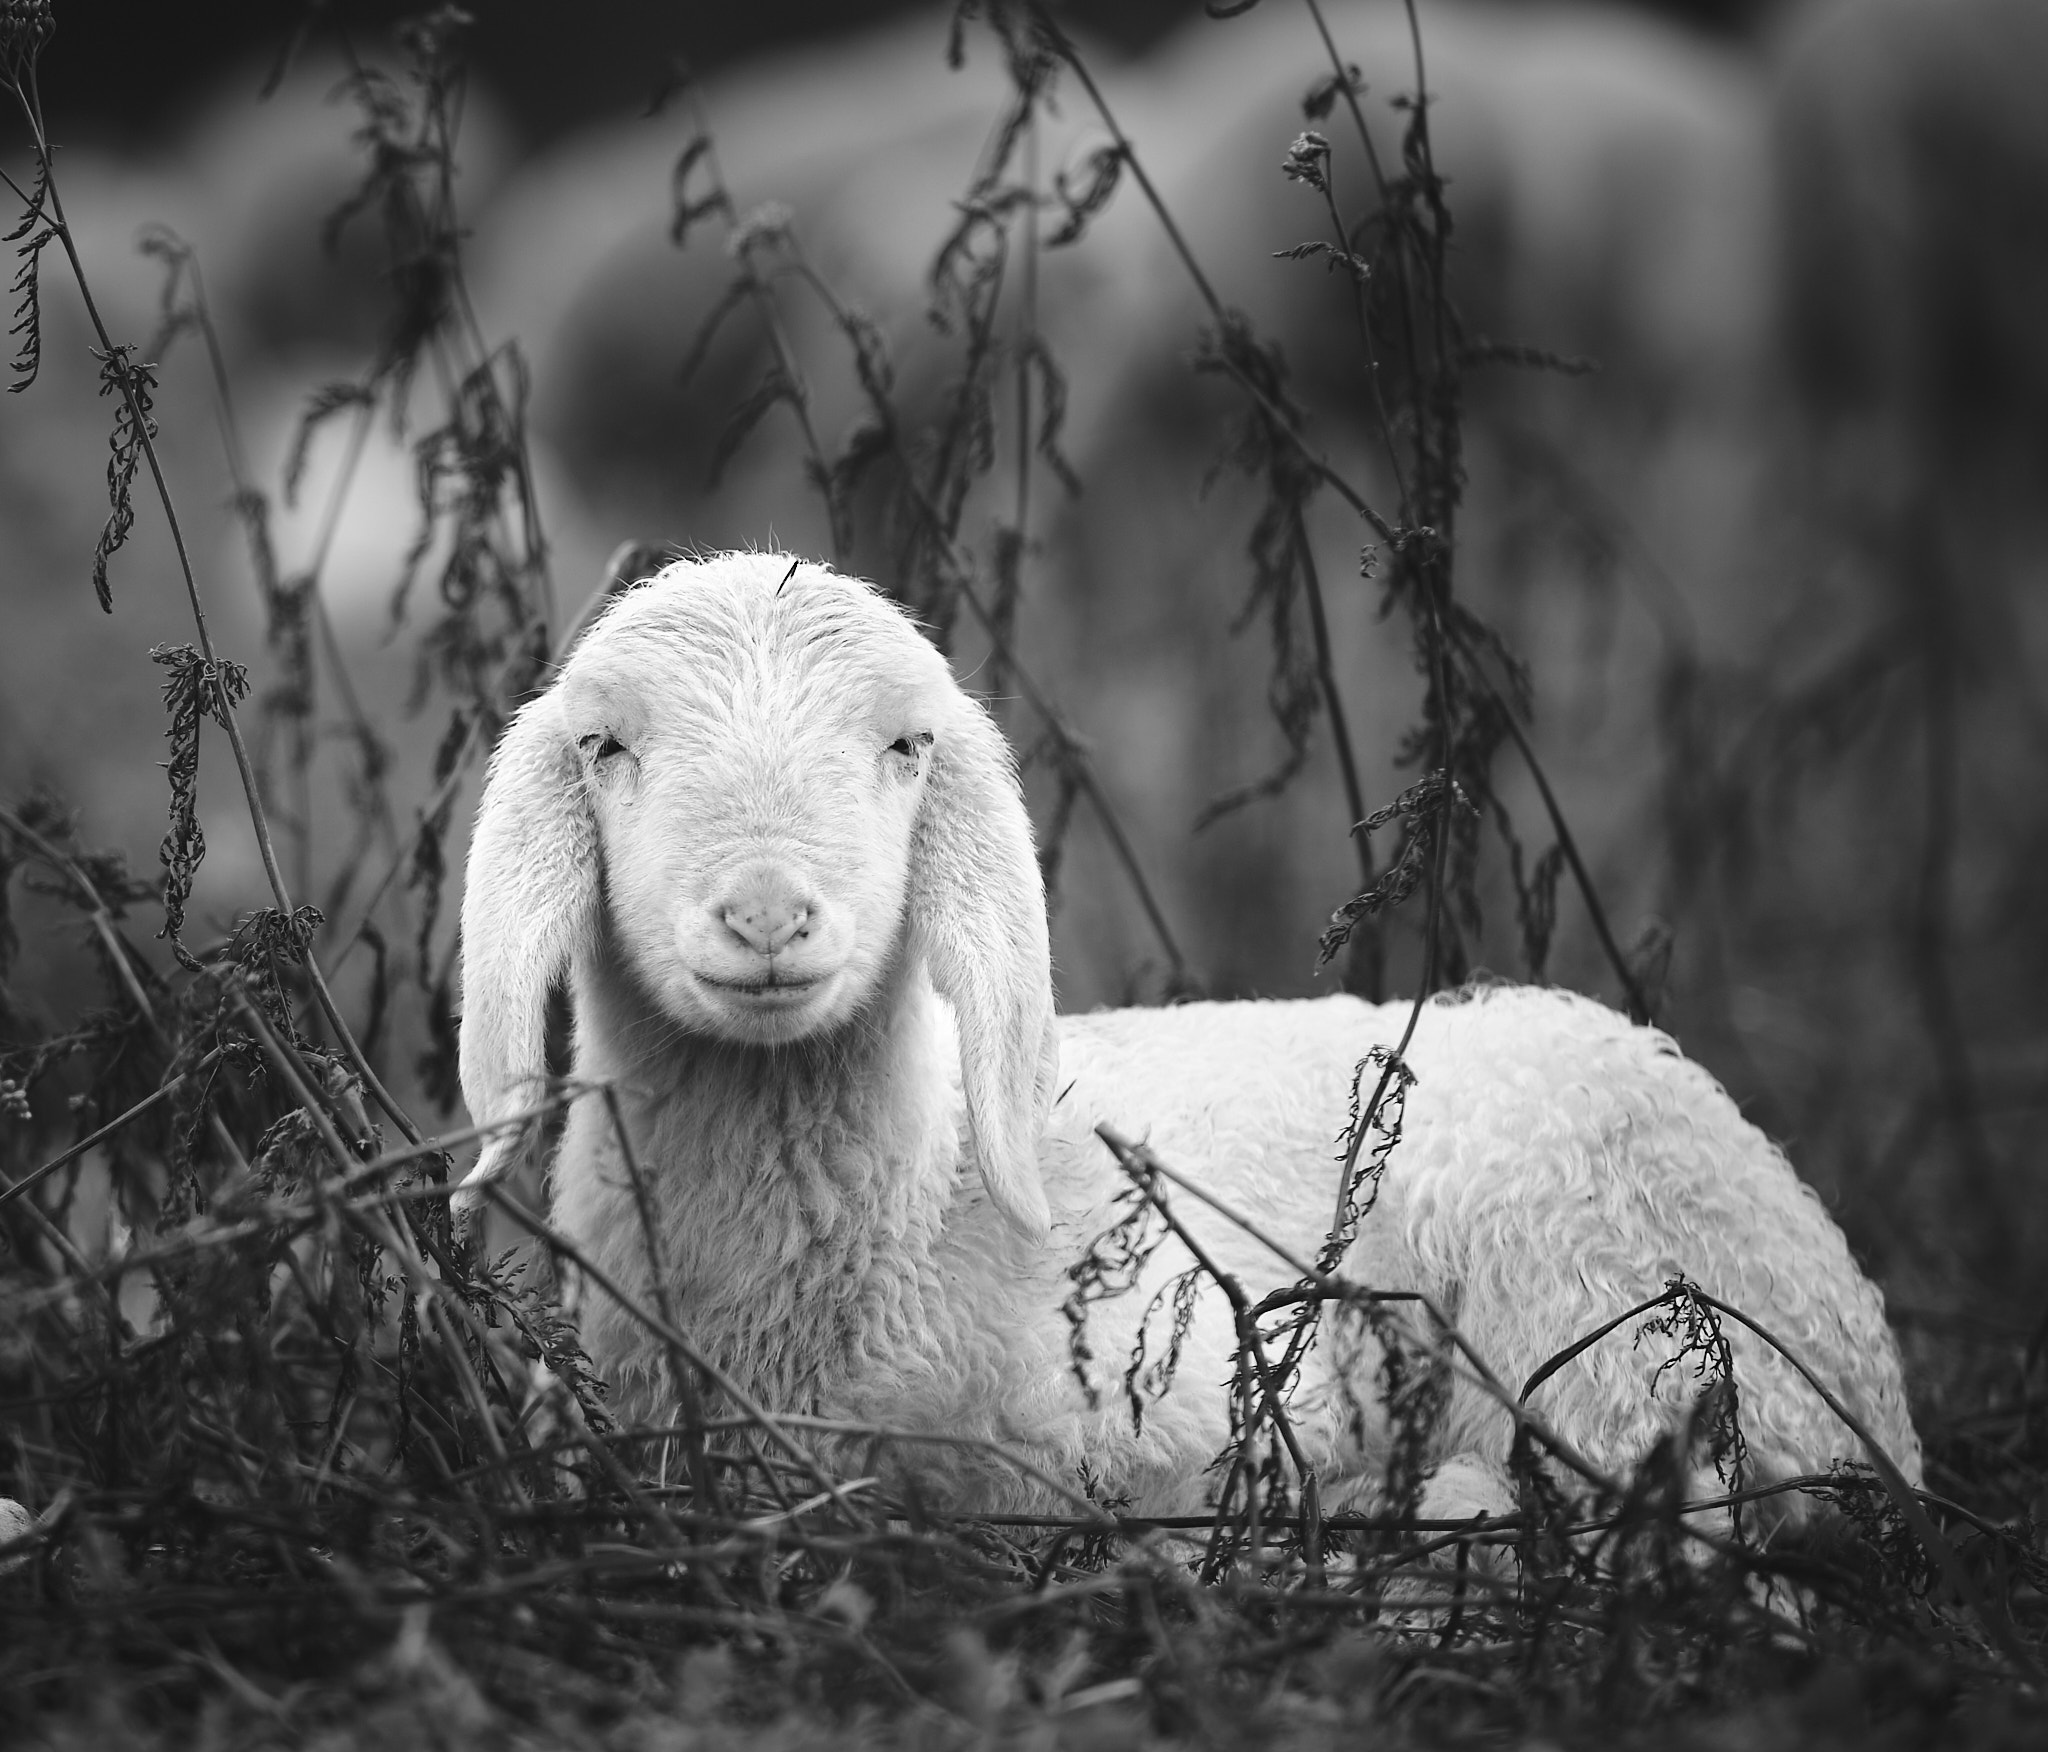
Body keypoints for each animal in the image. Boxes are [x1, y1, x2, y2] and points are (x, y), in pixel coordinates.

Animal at [456, 548, 1921, 1529]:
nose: (765, 912)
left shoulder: (1221, 1403)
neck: (914, 1206)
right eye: (602, 746)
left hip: (1611, 1314)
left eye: (907, 745)